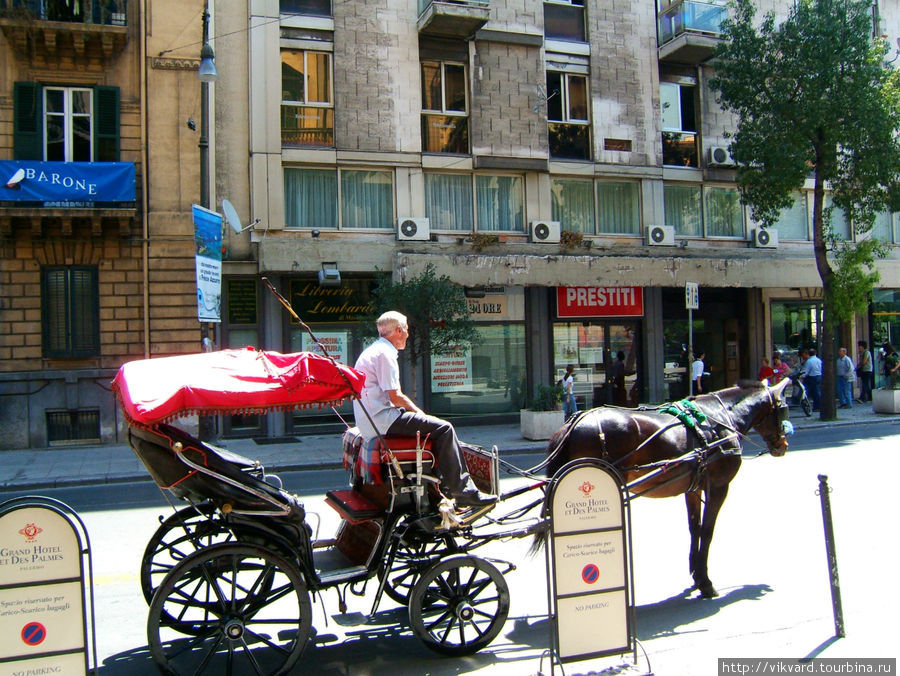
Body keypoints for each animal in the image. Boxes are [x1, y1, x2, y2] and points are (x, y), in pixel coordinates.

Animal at [540, 380, 788, 596]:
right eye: (783, 411)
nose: (783, 445)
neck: (720, 419)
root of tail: (574, 422)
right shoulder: (719, 487)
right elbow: (707, 532)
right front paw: (706, 583)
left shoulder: (694, 488)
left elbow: (694, 528)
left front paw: (696, 575)